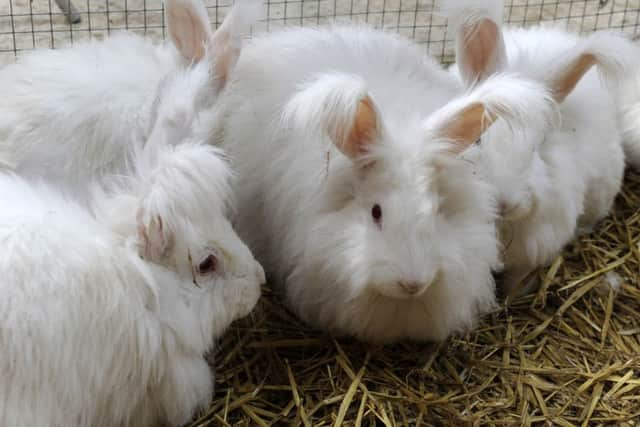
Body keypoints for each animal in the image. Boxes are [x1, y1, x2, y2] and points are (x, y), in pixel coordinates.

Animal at [442, 0, 636, 294]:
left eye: (538, 145)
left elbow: (519, 282)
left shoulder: (531, 252)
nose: (504, 203)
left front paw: (512, 298)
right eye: (477, 140)